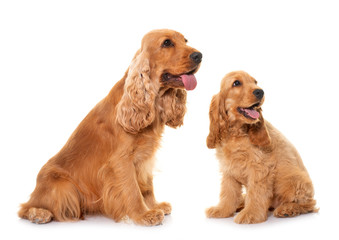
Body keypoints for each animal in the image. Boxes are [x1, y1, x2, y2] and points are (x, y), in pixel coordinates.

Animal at [19, 29, 202, 226]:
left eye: (185, 40)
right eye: (167, 43)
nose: (199, 55)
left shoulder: (145, 158)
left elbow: (147, 186)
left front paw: (155, 206)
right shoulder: (121, 161)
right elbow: (132, 190)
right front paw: (144, 214)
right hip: (64, 187)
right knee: (25, 208)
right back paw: (39, 214)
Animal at [205, 71, 318, 223]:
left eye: (255, 82)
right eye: (236, 83)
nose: (260, 92)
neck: (237, 133)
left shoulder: (259, 169)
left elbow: (256, 193)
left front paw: (251, 214)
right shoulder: (229, 170)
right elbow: (228, 193)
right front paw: (222, 210)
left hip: (295, 182)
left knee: (310, 203)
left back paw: (287, 209)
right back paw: (241, 203)